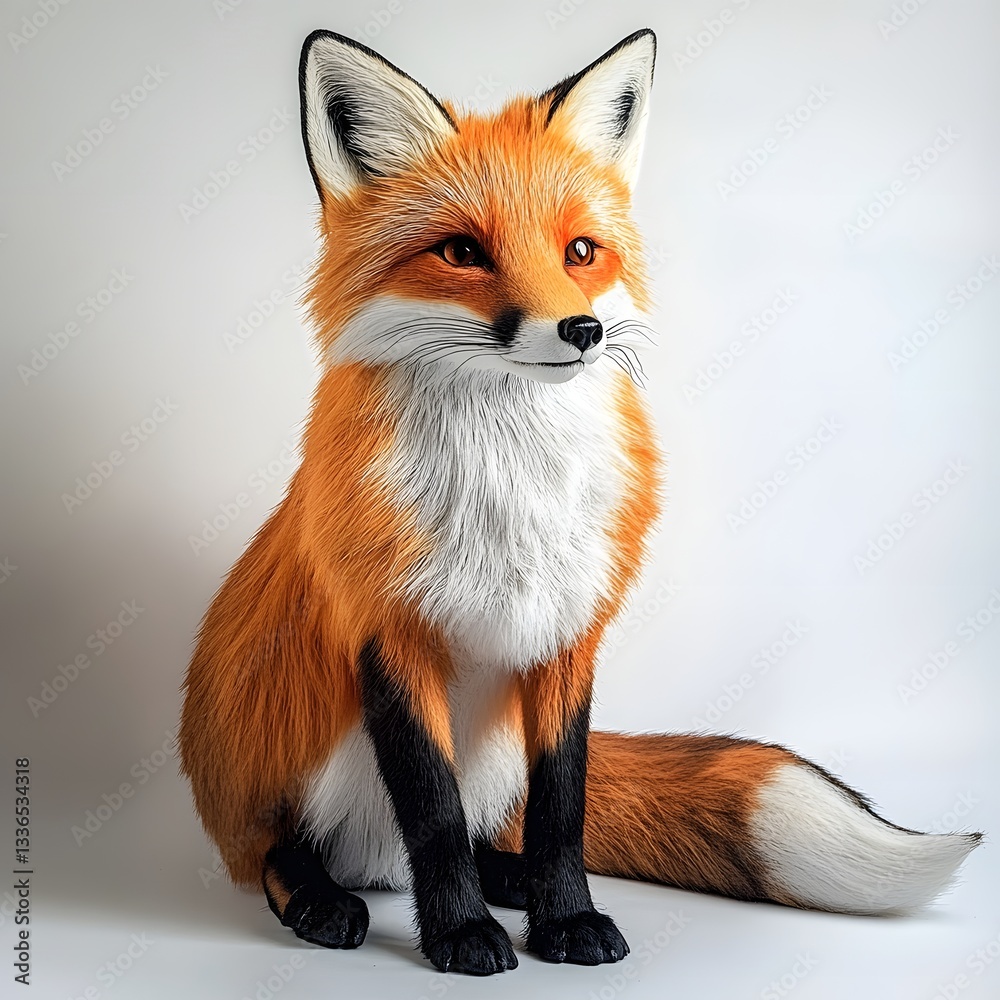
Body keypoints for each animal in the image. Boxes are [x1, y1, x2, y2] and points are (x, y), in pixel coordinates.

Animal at [178, 28, 981, 976]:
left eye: (581, 253)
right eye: (462, 253)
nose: (583, 331)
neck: (511, 483)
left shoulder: (568, 632)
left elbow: (563, 806)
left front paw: (563, 918)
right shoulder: (389, 635)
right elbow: (434, 816)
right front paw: (461, 936)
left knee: (494, 830)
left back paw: (508, 876)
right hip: (303, 755)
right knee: (288, 852)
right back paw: (321, 897)